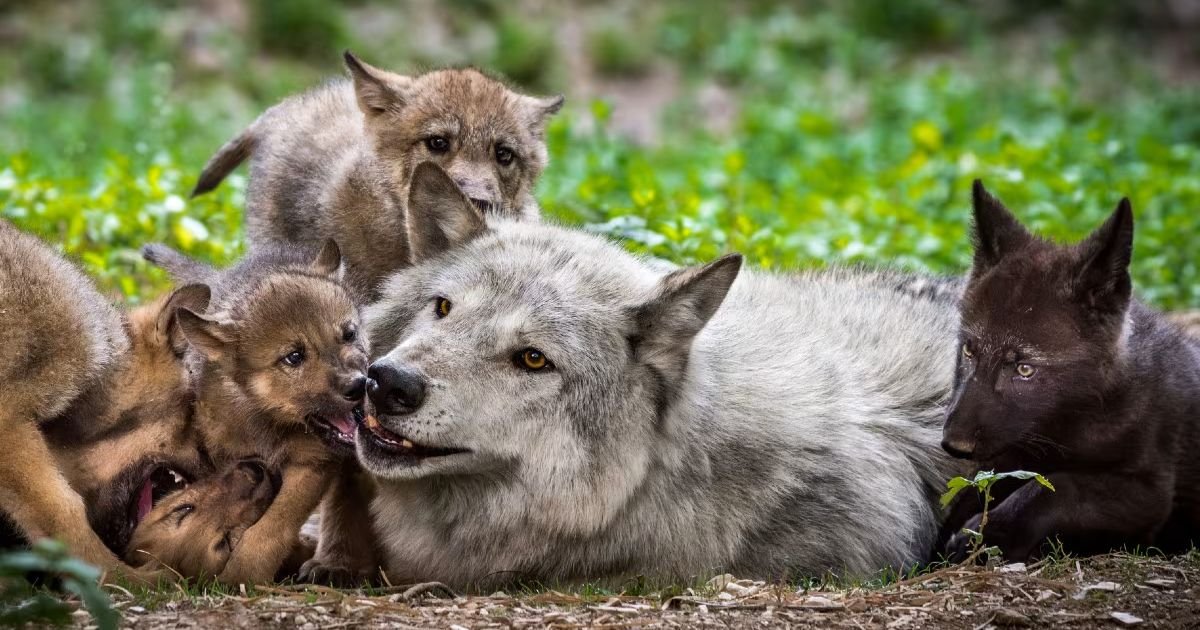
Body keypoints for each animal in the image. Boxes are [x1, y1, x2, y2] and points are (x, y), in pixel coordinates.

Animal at [142, 241, 375, 585]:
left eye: (349, 334)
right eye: (294, 357)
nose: (360, 386)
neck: (268, 423)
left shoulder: (311, 464)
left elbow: (272, 527)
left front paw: (246, 573)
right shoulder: (227, 463)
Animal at [940, 181, 1200, 561]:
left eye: (1025, 369)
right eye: (969, 350)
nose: (953, 444)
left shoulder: (1148, 493)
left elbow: (1056, 486)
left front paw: (985, 536)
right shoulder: (1010, 455)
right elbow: (971, 494)